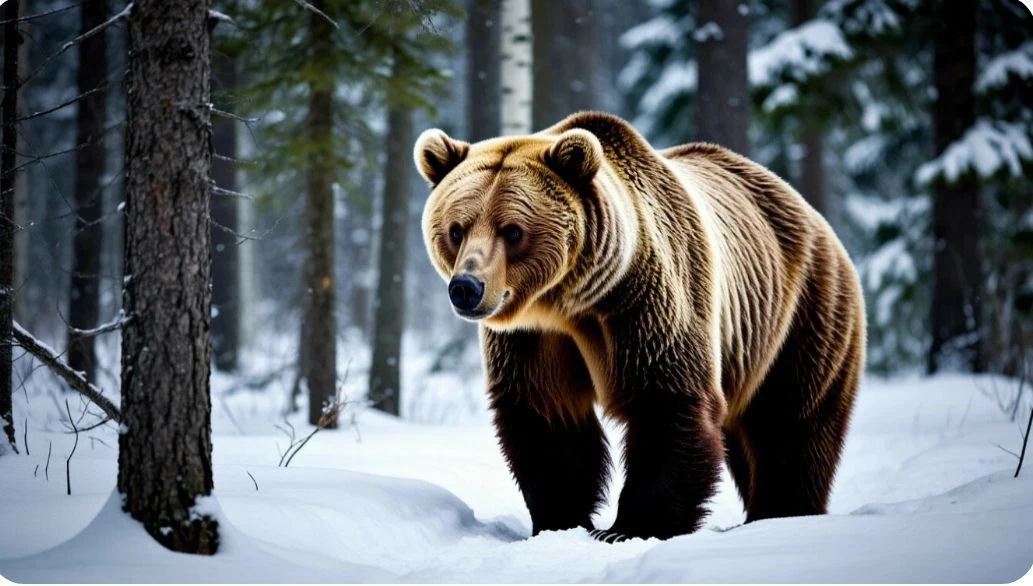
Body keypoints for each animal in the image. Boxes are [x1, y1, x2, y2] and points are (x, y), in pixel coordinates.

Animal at [414, 112, 866, 542]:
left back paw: (782, 513)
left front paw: (629, 527)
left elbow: (665, 403)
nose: (467, 287)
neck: (569, 302)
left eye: (512, 230)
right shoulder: (535, 338)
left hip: (802, 313)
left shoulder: (644, 304)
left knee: (791, 423)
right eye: (456, 229)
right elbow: (547, 417)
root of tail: (810, 211)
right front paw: (560, 519)